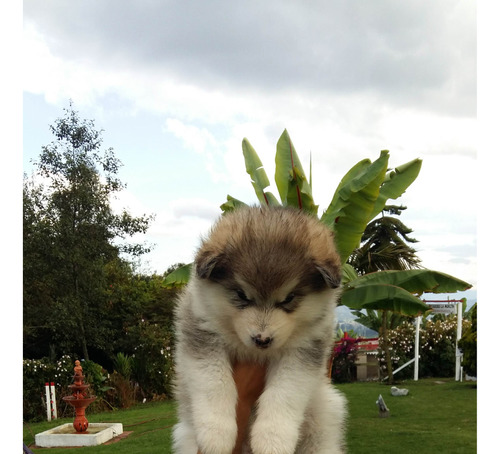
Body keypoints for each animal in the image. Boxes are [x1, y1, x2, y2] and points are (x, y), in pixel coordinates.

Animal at [174, 207, 346, 454]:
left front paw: (273, 440)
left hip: (324, 416)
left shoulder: (306, 349)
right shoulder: (201, 332)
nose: (262, 339)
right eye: (242, 295)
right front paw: (216, 434)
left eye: (289, 298)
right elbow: (215, 383)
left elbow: (284, 391)